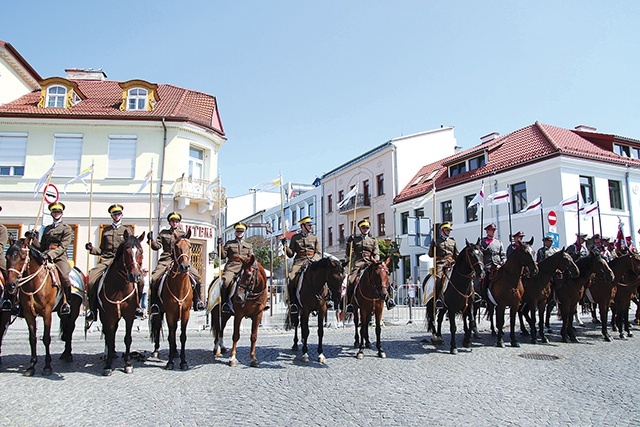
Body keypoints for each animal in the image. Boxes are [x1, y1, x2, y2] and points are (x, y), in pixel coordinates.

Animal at [3, 239, 62, 376]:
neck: (33, 284)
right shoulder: (28, 314)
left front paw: (47, 366)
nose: (10, 285)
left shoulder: (47, 313)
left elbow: (46, 338)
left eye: (22, 257)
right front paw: (31, 366)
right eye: (6, 257)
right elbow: (32, 338)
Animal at [97, 232, 145, 376]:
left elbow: (127, 338)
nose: (135, 276)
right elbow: (109, 336)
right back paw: (108, 354)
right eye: (126, 251)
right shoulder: (108, 316)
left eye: (141, 251)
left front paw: (128, 364)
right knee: (108, 333)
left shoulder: (129, 315)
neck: (119, 286)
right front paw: (108, 366)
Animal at [151, 229, 194, 370]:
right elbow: (170, 336)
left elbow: (182, 336)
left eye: (190, 246)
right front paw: (169, 362)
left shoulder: (185, 313)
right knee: (158, 328)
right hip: (159, 312)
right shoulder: (169, 313)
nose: (184, 267)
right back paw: (156, 351)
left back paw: (175, 352)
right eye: (176, 246)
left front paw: (183, 362)